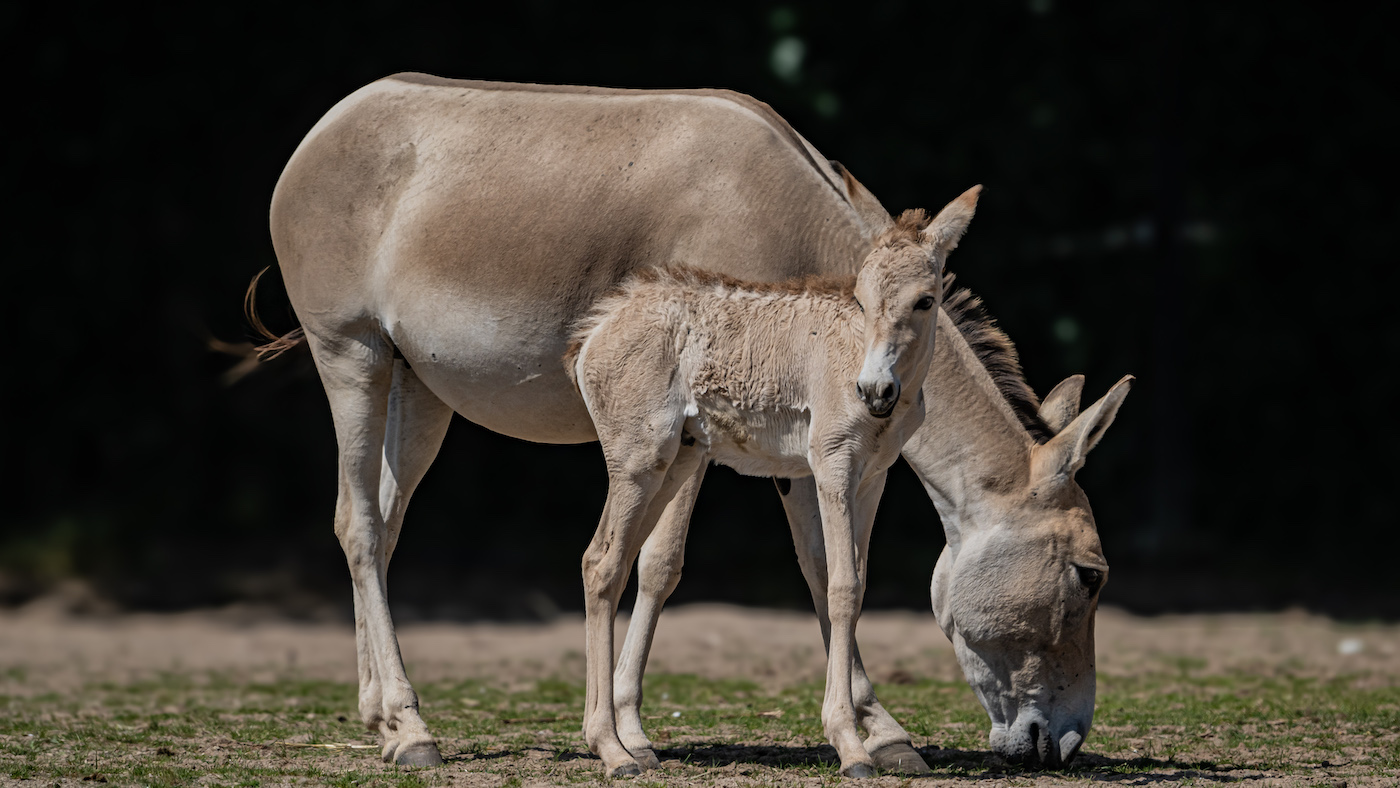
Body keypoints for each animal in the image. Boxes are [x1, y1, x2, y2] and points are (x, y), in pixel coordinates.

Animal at [565, 195, 972, 776]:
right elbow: (841, 587)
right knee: (601, 563)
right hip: (637, 462)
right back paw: (611, 750)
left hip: (673, 463)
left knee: (612, 562)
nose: (874, 391)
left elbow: (852, 586)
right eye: (861, 298)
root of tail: (599, 326)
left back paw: (627, 744)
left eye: (925, 300)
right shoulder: (831, 466)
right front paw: (851, 746)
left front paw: (873, 735)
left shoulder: (872, 478)